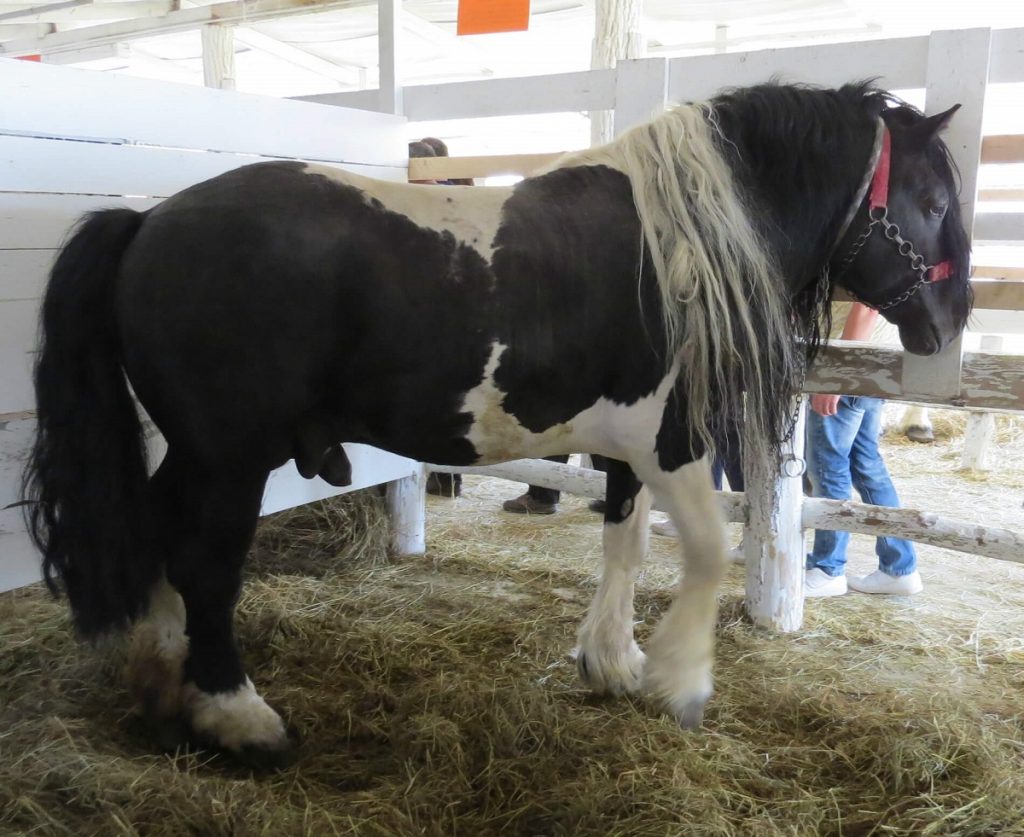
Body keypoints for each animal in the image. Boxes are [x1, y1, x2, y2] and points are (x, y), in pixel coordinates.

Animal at [22, 81, 966, 762]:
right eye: (931, 198)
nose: (949, 325)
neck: (683, 247)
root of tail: (146, 220)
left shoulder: (628, 447)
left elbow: (624, 541)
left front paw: (612, 660)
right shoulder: (674, 442)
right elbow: (704, 551)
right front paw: (681, 678)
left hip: (197, 451)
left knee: (153, 536)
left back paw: (161, 676)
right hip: (230, 456)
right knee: (205, 566)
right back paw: (237, 714)